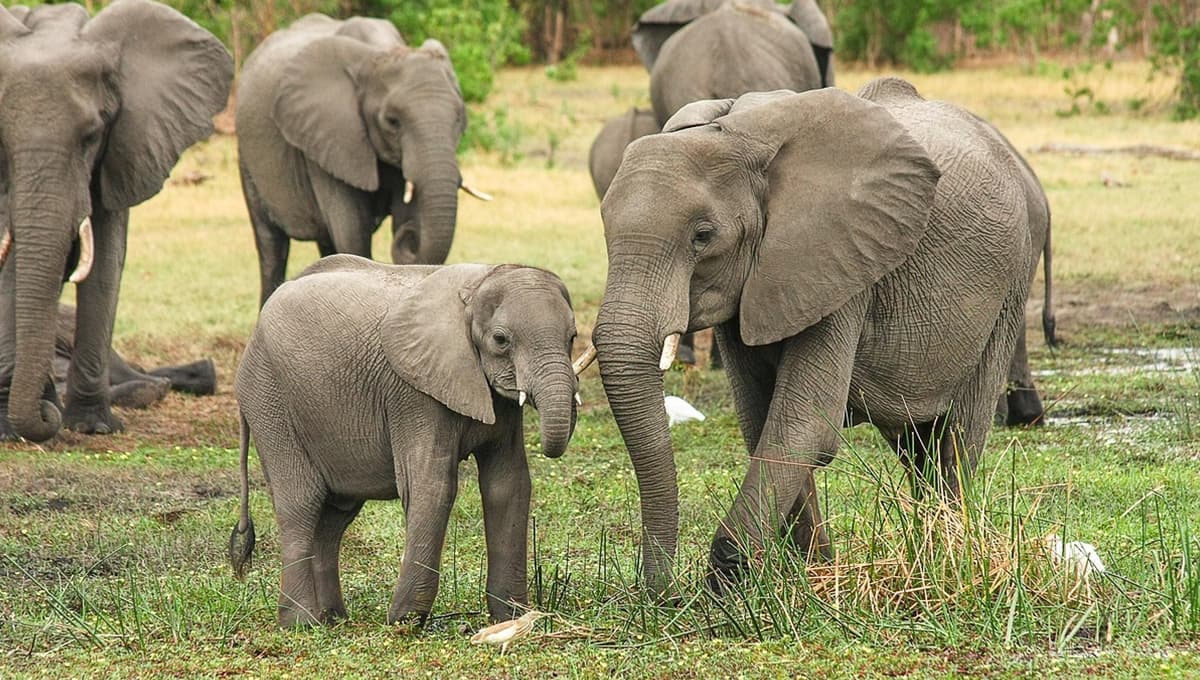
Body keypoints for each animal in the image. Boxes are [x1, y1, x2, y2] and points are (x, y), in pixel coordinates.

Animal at [228, 255, 583, 628]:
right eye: (501, 340)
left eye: (572, 336)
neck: (477, 285)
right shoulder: (414, 393)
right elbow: (432, 485)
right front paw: (404, 621)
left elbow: (508, 485)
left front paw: (512, 619)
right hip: (269, 399)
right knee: (301, 503)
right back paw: (302, 624)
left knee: (334, 516)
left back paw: (333, 619)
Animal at [237, 14, 489, 308]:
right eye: (392, 121)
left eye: (459, 117)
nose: (410, 237)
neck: (381, 51)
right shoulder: (329, 137)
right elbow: (352, 231)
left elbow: (402, 214)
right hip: (247, 158)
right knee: (272, 247)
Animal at [585, 78, 1035, 595]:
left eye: (702, 236)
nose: (664, 595)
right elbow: (761, 420)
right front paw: (811, 575)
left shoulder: (841, 262)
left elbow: (803, 425)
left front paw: (728, 584)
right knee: (915, 445)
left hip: (1009, 287)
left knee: (957, 436)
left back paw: (949, 558)